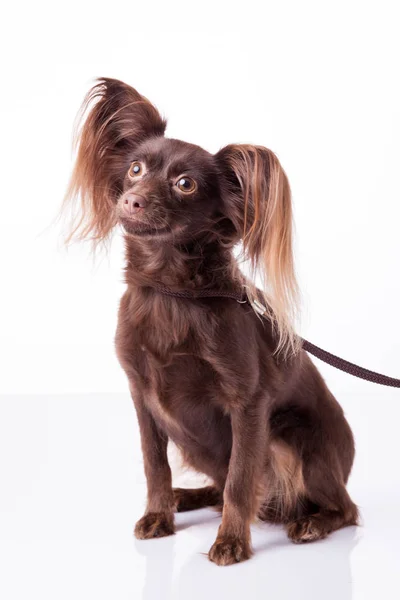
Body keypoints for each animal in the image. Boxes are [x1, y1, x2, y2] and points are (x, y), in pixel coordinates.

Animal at [63, 77, 360, 564]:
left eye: (185, 184)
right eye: (135, 169)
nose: (132, 200)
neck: (171, 290)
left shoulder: (248, 403)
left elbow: (241, 480)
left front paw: (232, 541)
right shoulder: (142, 397)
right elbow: (155, 465)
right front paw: (159, 514)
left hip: (290, 437)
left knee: (344, 508)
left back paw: (312, 522)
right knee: (220, 486)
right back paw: (186, 497)